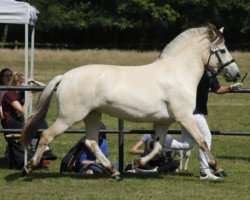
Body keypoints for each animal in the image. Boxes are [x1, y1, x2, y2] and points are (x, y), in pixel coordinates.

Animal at [21, 23, 240, 180]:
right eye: (221, 50)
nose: (236, 74)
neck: (177, 72)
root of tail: (65, 76)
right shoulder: (185, 117)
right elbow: (202, 141)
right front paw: (219, 169)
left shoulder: (163, 122)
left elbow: (158, 148)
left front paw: (135, 165)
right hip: (68, 118)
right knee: (47, 135)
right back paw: (28, 168)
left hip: (92, 115)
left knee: (91, 142)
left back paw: (114, 172)